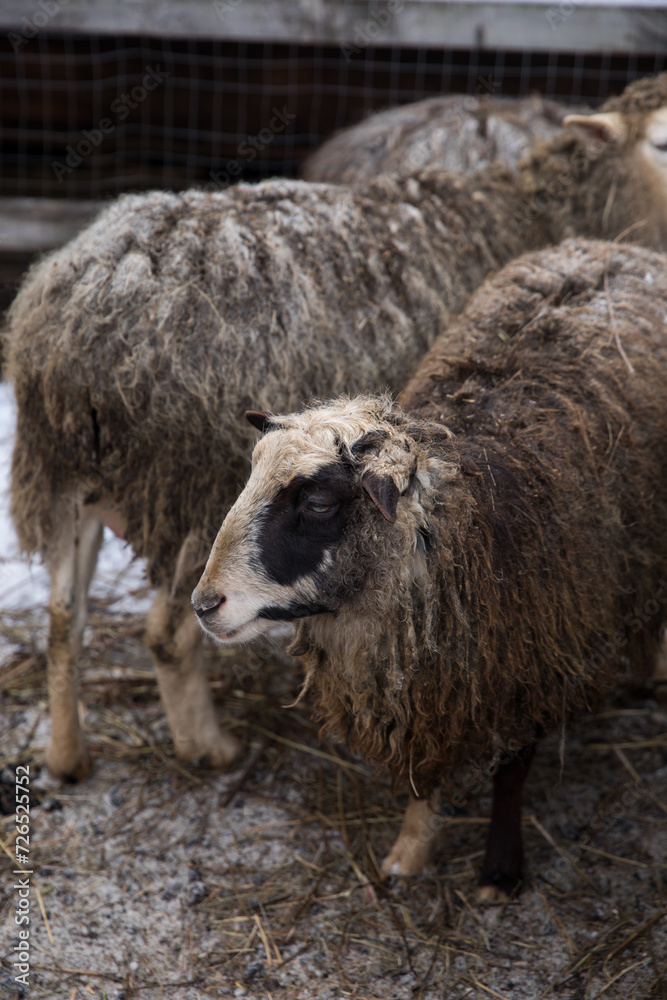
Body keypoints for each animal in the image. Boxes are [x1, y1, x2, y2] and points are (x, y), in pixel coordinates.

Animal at [192, 238, 667, 901]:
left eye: (318, 502)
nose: (203, 605)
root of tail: (614, 247)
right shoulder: (426, 684)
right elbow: (423, 770)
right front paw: (410, 852)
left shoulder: (528, 664)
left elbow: (511, 771)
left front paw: (499, 872)